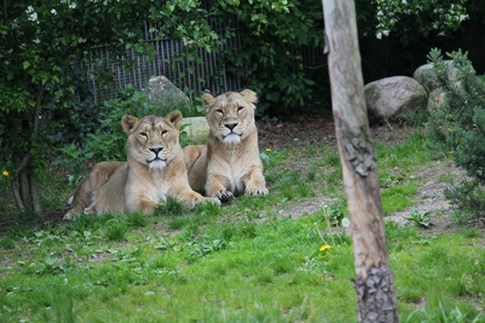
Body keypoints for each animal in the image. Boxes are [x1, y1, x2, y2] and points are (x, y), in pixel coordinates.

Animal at [62, 110, 217, 221]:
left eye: (164, 132)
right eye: (143, 134)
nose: (156, 149)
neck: (158, 173)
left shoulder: (182, 189)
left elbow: (195, 196)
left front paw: (210, 201)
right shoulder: (133, 200)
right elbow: (156, 206)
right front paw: (175, 205)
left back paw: (91, 212)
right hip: (93, 176)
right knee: (77, 202)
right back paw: (73, 215)